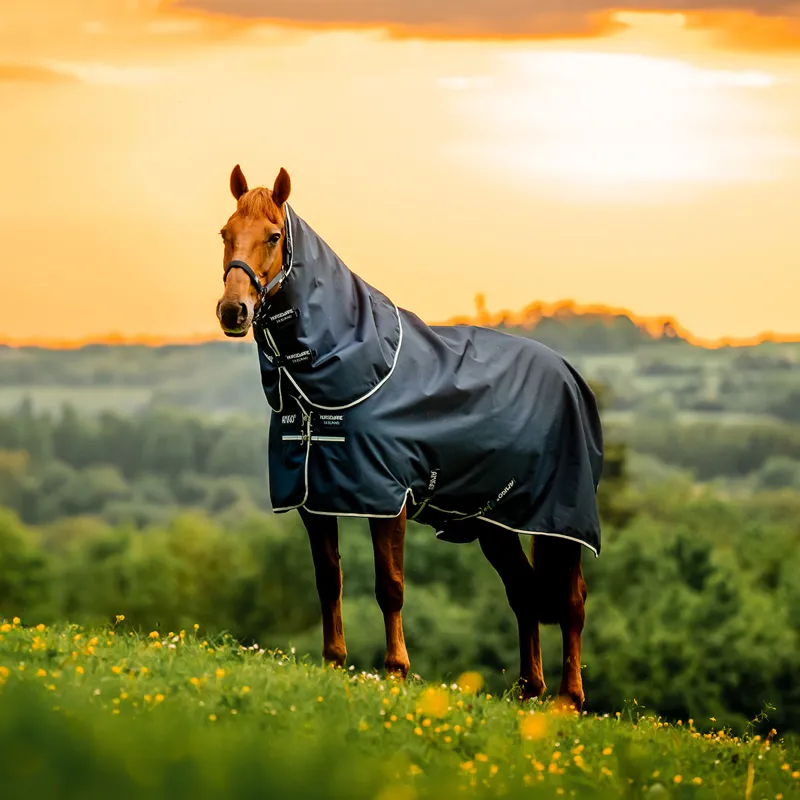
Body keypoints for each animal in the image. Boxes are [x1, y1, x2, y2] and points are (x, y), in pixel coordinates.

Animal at [215, 165, 604, 710]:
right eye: (225, 234)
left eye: (273, 236)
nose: (234, 311)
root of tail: (570, 375)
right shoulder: (314, 499)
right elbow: (328, 580)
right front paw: (334, 662)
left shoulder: (386, 498)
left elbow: (390, 585)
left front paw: (396, 670)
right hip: (495, 523)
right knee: (524, 592)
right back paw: (529, 690)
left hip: (560, 520)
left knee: (571, 599)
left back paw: (568, 698)